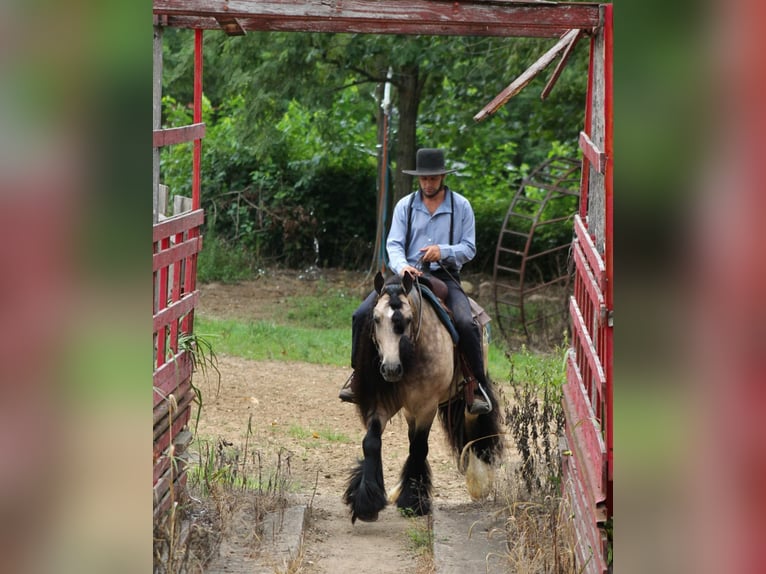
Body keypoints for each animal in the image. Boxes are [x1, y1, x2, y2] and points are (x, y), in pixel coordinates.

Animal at [344, 272, 504, 524]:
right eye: (376, 319)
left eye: (408, 320)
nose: (391, 369)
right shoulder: (382, 404)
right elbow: (371, 442)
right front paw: (367, 503)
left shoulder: (426, 406)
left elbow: (419, 447)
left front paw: (413, 502)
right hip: (410, 409)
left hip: (466, 397)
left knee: (473, 424)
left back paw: (479, 482)